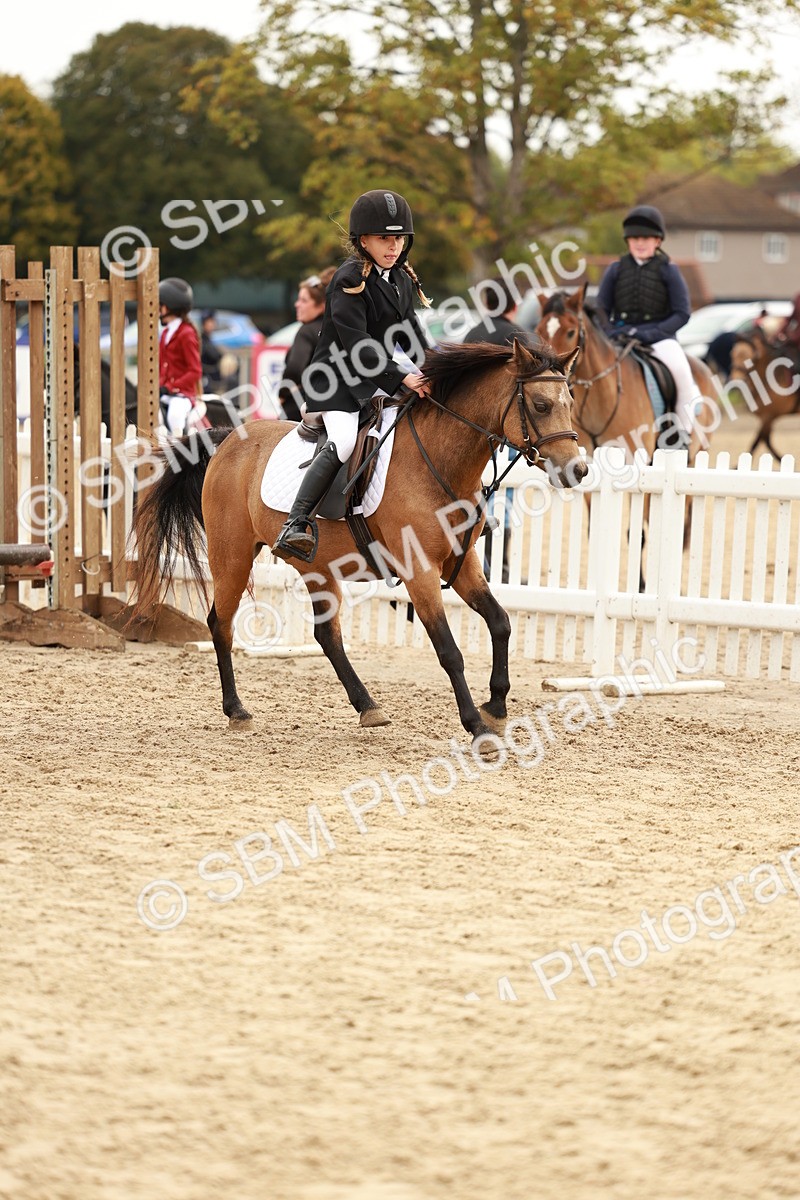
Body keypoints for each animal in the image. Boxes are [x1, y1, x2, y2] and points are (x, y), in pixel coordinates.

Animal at [131, 339, 586, 750]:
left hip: (317, 567)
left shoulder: (463, 562)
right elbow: (449, 650)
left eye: (570, 402)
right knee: (220, 623)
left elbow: (501, 623)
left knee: (326, 635)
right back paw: (237, 710)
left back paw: (368, 706)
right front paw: (476, 726)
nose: (577, 470)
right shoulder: (419, 570)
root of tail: (228, 438)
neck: (440, 460)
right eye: (540, 406)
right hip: (233, 557)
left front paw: (496, 707)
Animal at [729, 330, 800, 459]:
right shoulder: (767, 418)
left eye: (752, 357)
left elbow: (756, 443)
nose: (737, 380)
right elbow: (766, 442)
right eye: (732, 354)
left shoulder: (768, 417)